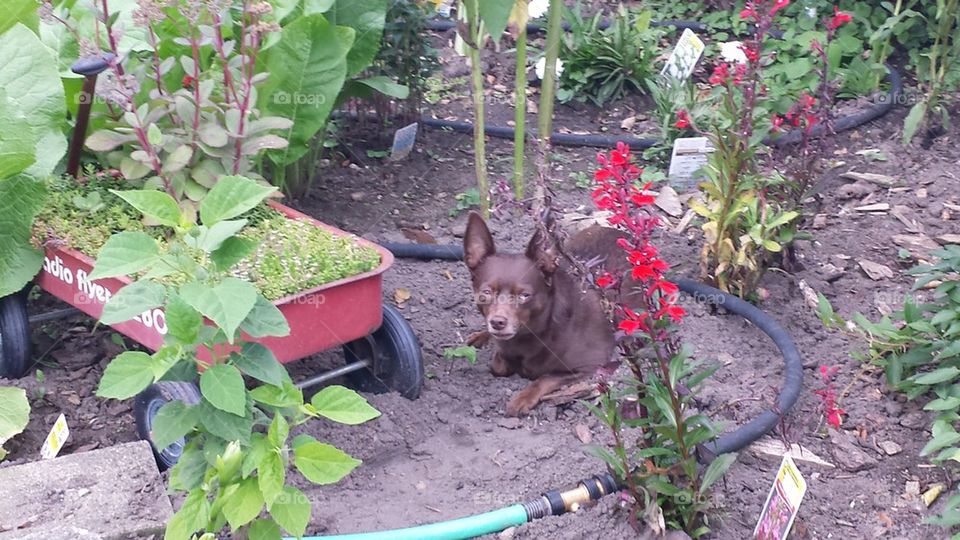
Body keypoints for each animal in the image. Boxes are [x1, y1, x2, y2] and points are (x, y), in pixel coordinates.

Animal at [464, 212, 616, 418]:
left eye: (524, 295)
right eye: (486, 293)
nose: (497, 322)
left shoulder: (590, 364)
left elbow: (545, 378)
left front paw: (523, 398)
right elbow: (498, 366)